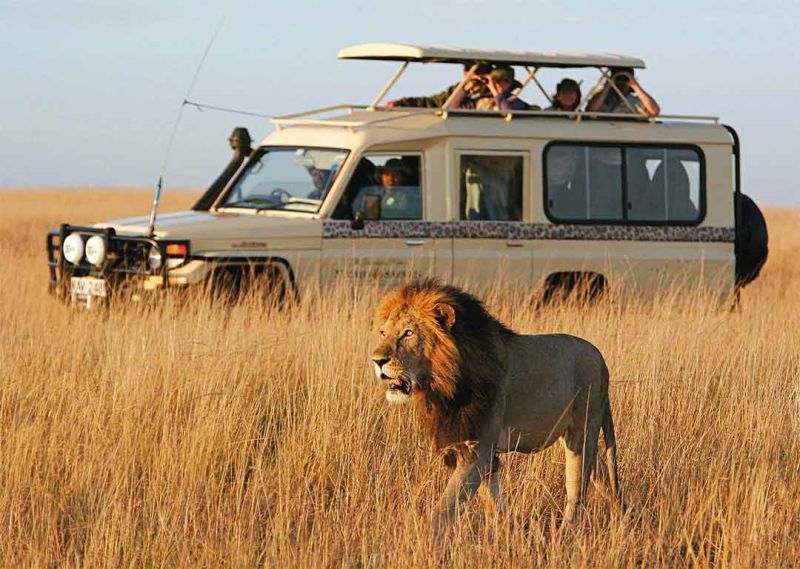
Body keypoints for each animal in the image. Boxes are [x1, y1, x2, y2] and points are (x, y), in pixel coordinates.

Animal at [371, 278, 621, 532]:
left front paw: (424, 537)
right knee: (602, 473)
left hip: (582, 430)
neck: (447, 383)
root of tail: (601, 360)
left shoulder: (479, 448)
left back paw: (566, 531)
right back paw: (624, 512)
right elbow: (492, 500)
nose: (377, 360)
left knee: (578, 488)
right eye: (383, 333)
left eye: (408, 333)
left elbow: (446, 507)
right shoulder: (472, 446)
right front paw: (505, 529)